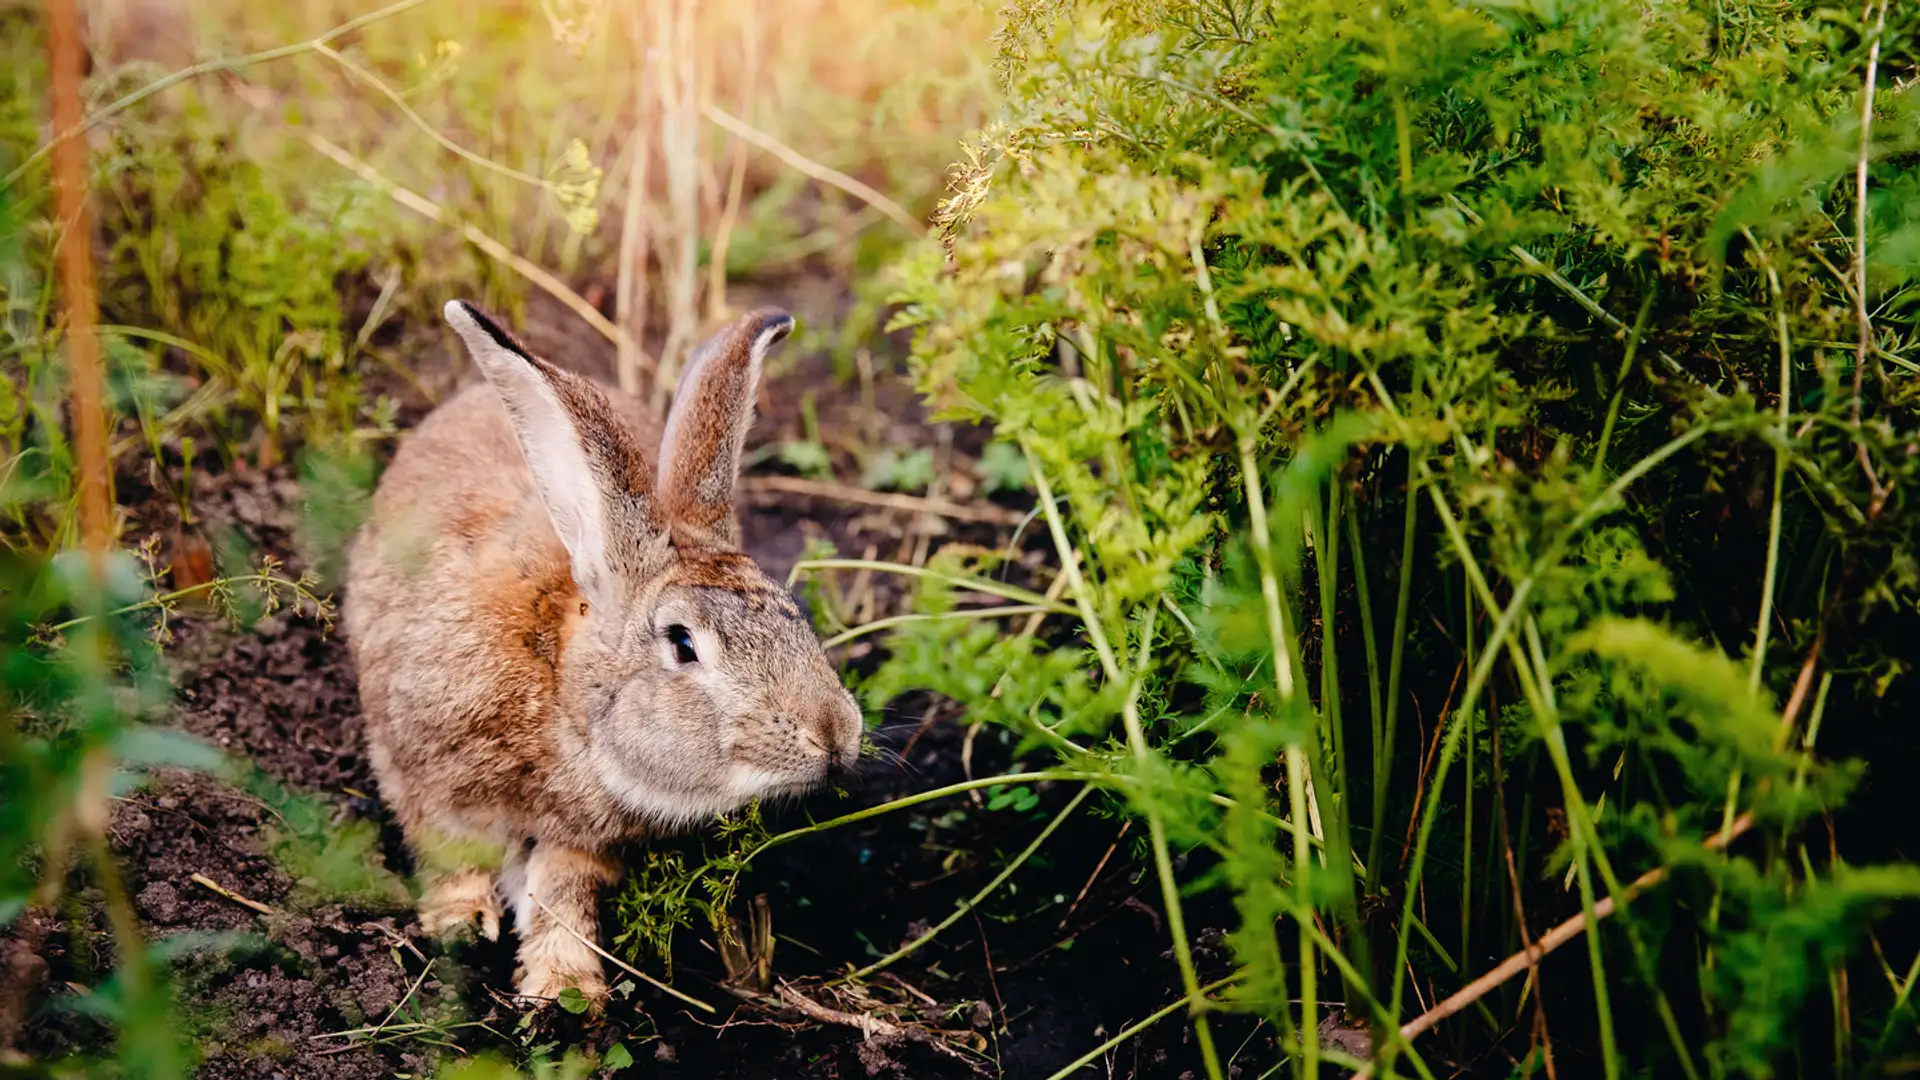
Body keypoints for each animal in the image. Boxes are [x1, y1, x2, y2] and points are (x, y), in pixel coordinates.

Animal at [343, 300, 865, 1002]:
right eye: (682, 643)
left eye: (793, 613)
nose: (835, 735)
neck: (561, 688)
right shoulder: (427, 779)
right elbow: (451, 857)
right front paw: (459, 926)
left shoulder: (582, 844)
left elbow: (563, 894)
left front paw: (564, 989)